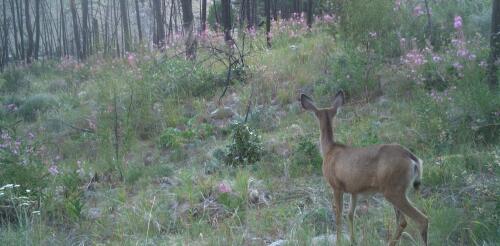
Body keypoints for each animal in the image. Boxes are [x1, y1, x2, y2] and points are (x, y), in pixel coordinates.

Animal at [298, 91, 428, 245]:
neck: (329, 150)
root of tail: (413, 159)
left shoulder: (336, 186)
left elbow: (339, 215)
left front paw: (338, 241)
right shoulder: (354, 190)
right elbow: (350, 214)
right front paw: (353, 241)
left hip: (393, 190)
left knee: (420, 219)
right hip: (399, 189)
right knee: (403, 221)